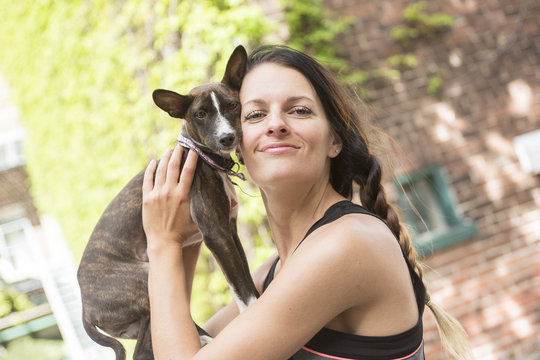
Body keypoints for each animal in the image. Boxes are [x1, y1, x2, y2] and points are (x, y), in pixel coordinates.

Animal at [77, 46, 260, 358]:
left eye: (233, 106)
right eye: (200, 114)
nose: (228, 138)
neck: (204, 157)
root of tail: (85, 307)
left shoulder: (230, 232)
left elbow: (244, 279)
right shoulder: (216, 234)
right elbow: (244, 292)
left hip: (141, 317)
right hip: (146, 281)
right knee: (144, 351)